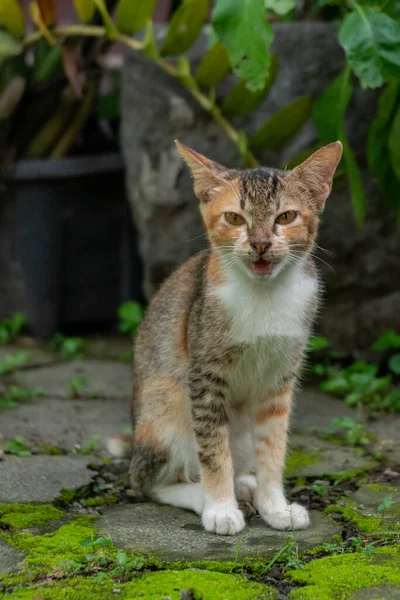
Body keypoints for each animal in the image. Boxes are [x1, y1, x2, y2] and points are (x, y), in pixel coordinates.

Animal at [108, 139, 340, 536]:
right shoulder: (204, 373)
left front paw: (275, 505)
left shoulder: (280, 377)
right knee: (146, 482)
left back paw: (245, 486)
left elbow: (273, 444)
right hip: (166, 398)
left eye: (285, 218)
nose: (261, 244)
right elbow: (213, 447)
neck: (264, 295)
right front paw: (219, 508)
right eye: (234, 219)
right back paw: (201, 494)